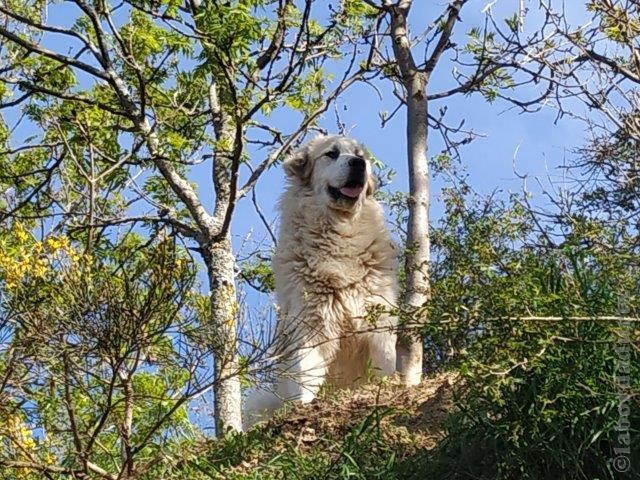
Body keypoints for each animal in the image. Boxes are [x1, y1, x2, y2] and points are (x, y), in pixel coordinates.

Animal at [244, 135, 398, 428]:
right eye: (331, 154)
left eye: (359, 154)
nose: (359, 164)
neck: (340, 232)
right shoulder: (311, 324)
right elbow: (306, 374)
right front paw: (304, 406)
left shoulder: (379, 318)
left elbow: (387, 363)